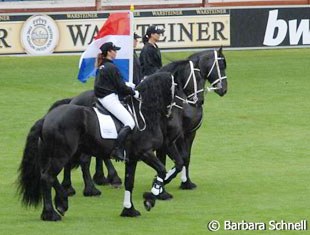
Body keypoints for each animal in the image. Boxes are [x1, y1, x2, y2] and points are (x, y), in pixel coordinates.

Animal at [17, 71, 184, 220]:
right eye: (176, 88)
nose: (177, 112)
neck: (143, 114)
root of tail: (46, 118)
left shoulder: (132, 159)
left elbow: (129, 183)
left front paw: (129, 210)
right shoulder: (145, 153)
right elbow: (162, 170)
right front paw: (150, 199)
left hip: (54, 154)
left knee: (48, 176)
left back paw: (62, 202)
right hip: (62, 155)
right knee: (47, 177)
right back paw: (52, 213)